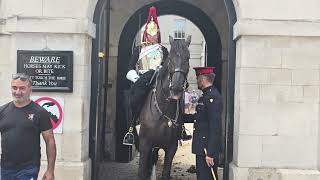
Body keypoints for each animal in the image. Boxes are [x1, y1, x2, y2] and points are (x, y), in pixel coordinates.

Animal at [137, 35, 190, 180]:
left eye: (187, 58)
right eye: (170, 59)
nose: (176, 88)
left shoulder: (171, 147)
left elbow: (166, 173)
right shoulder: (145, 145)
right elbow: (142, 172)